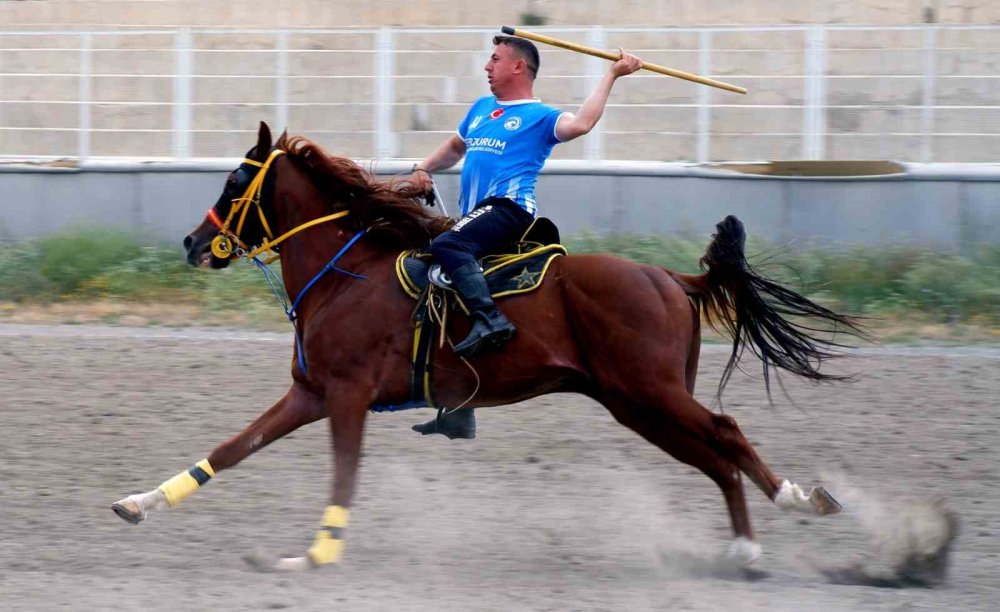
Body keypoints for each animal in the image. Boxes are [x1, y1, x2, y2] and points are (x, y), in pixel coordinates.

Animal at [109, 122, 860, 572]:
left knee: (727, 434)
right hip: (638, 404)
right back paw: (745, 544)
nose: (193, 242)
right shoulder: (311, 393)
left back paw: (796, 502)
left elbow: (343, 474)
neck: (346, 274)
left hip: (652, 393)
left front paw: (316, 555)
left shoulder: (346, 396)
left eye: (237, 179)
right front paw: (140, 503)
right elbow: (234, 447)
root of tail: (670, 277)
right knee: (714, 460)